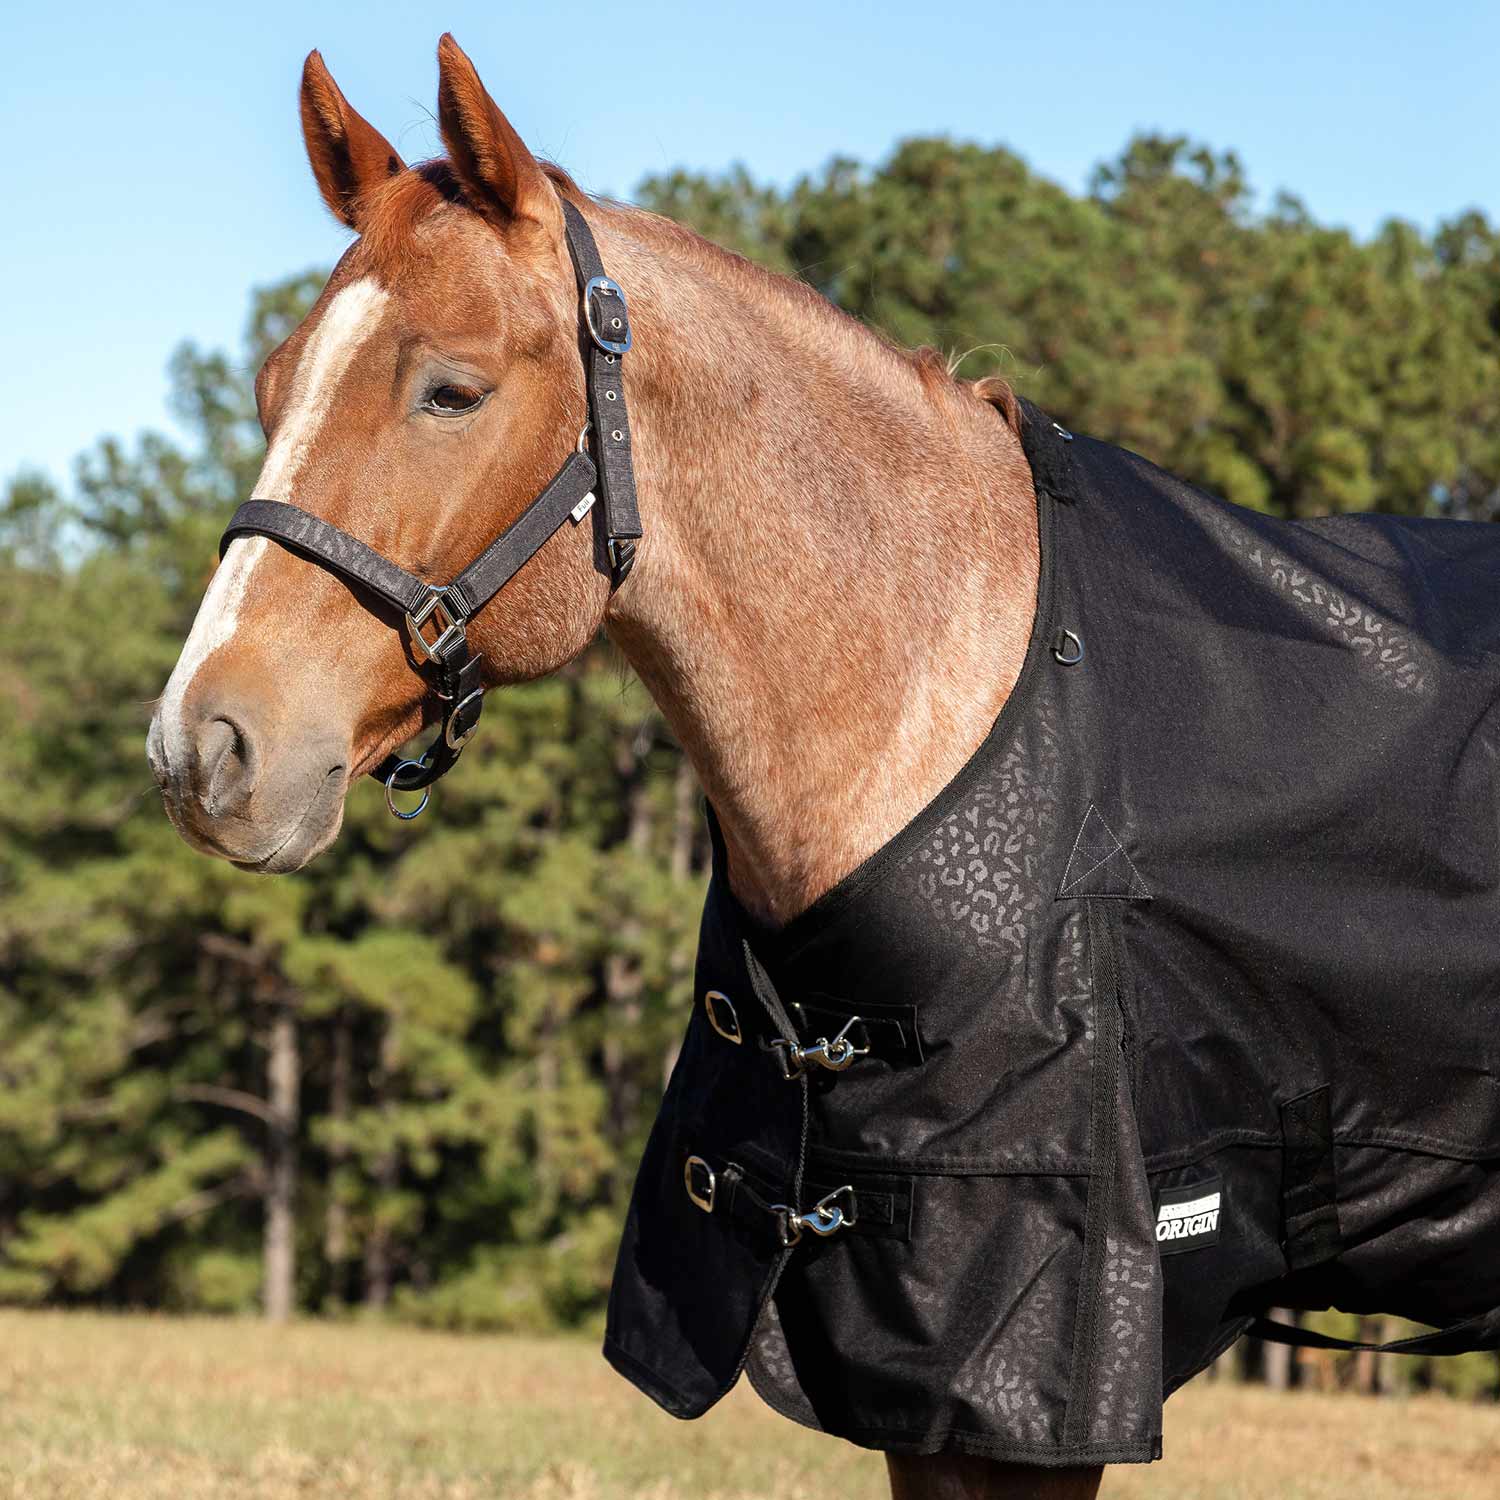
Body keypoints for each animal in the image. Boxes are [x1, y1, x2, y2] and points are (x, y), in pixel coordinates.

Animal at [148, 34, 1500, 1500]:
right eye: (272, 388)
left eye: (452, 389)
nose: (203, 747)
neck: (942, 691)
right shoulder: (913, 1364)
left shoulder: (1028, 1350)